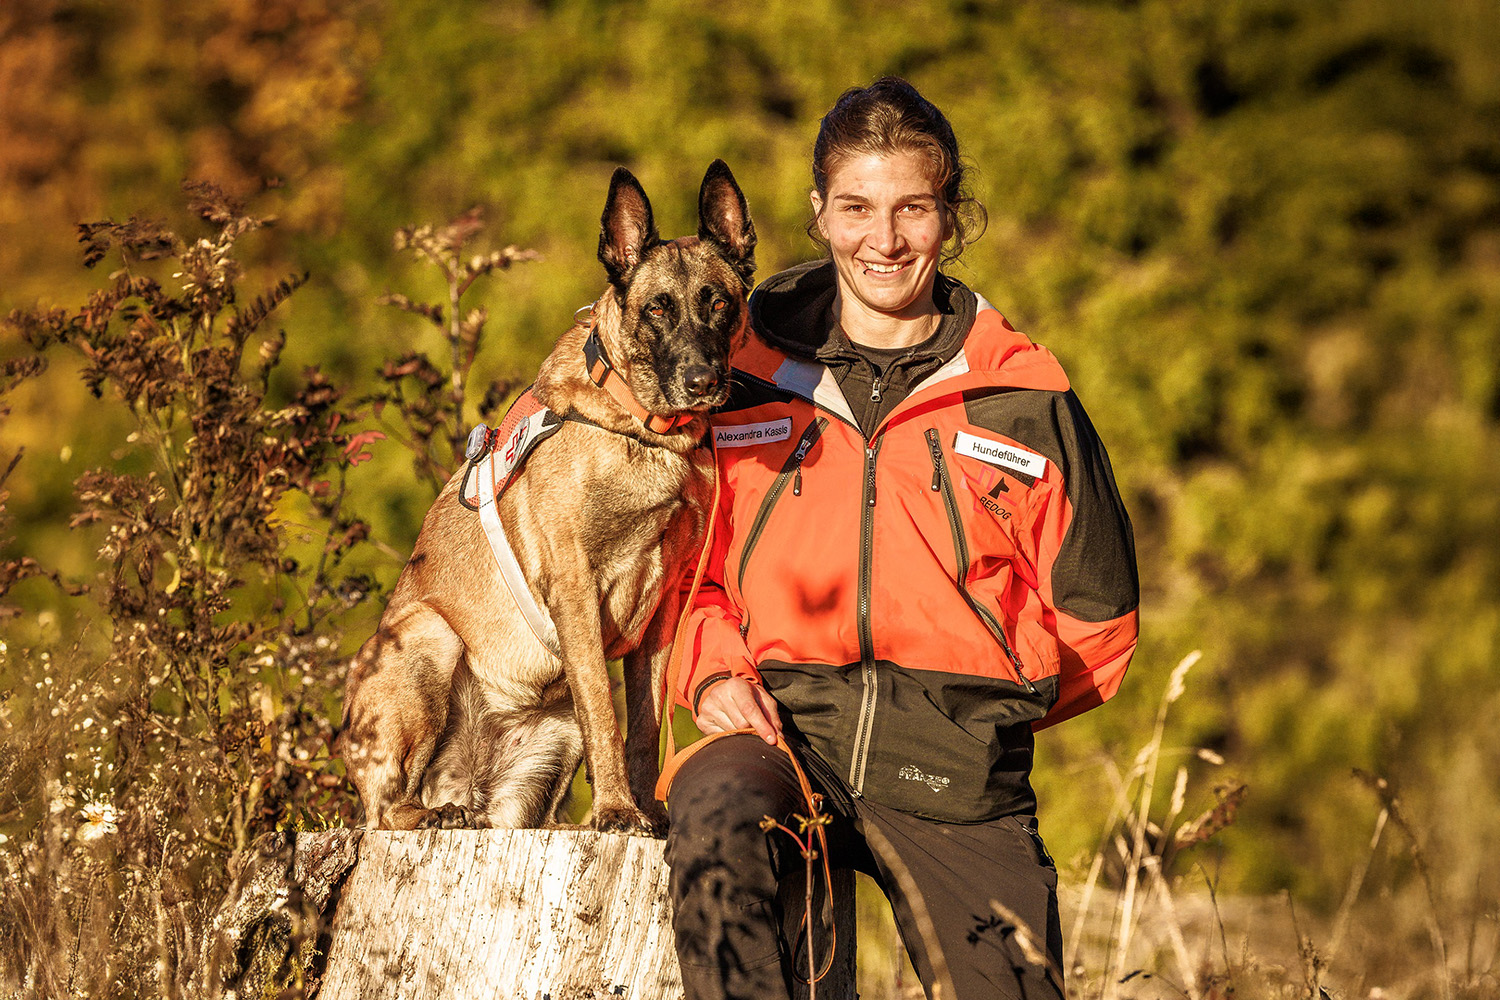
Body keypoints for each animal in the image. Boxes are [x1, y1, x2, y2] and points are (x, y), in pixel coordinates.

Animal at [339, 161, 755, 833]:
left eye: (719, 302)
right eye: (657, 310)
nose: (703, 382)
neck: (644, 429)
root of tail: (463, 784)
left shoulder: (663, 610)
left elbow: (643, 728)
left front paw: (642, 809)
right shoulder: (576, 587)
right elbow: (606, 716)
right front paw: (616, 810)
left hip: (551, 740)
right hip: (429, 637)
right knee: (384, 808)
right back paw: (430, 814)